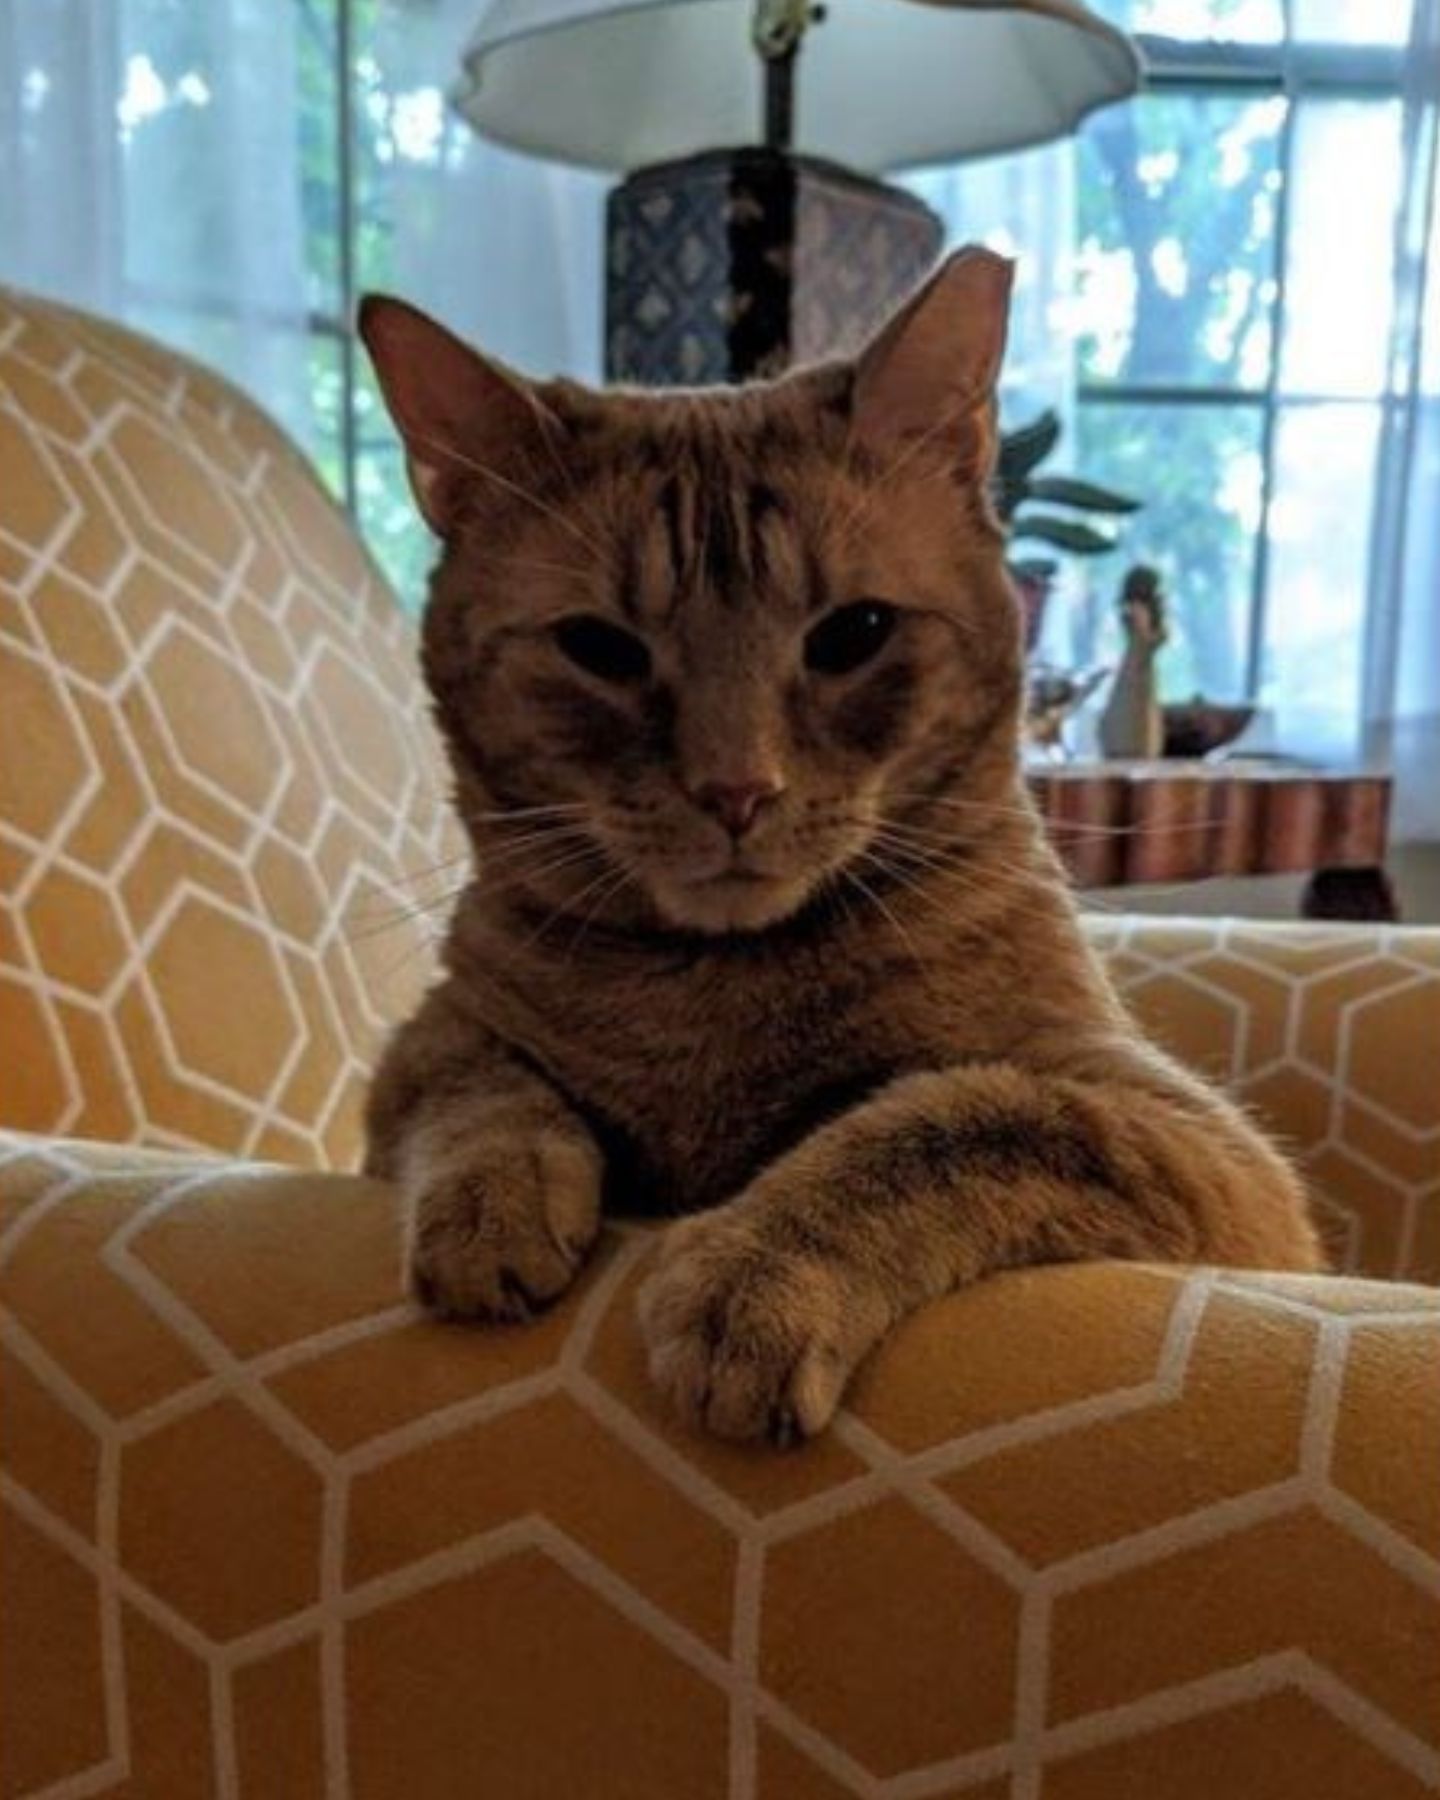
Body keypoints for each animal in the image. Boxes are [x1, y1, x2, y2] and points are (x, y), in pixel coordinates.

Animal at [356, 250, 1317, 1447]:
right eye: (598, 648)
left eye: (852, 634)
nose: (736, 789)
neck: (708, 995)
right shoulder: (422, 1047)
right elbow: (475, 1076)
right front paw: (494, 1196)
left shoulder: (1199, 1148)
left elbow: (956, 1118)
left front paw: (761, 1270)